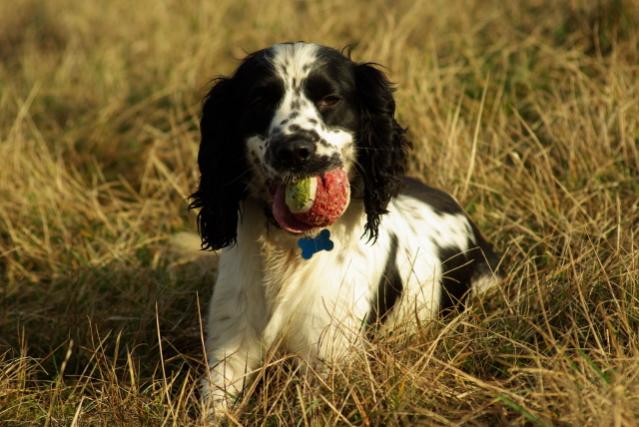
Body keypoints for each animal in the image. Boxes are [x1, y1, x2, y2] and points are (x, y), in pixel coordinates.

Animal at [190, 42, 500, 412]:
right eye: (259, 99)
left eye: (330, 99)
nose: (294, 150)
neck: (290, 246)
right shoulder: (230, 348)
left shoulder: (328, 356)